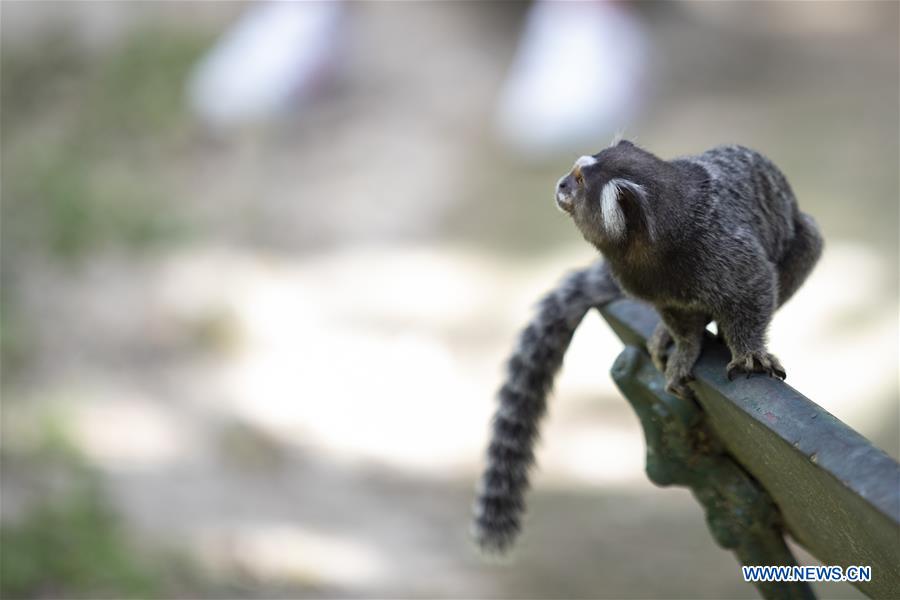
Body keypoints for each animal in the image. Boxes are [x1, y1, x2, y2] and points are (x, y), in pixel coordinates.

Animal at [478, 141, 824, 552]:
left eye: (578, 181)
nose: (561, 184)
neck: (657, 248)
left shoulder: (727, 254)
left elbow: (753, 287)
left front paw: (746, 350)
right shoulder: (647, 284)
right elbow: (678, 318)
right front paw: (684, 347)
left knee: (808, 240)